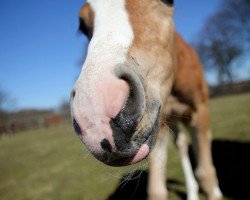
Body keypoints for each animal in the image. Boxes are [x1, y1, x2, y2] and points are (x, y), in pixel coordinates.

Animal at [70, 0, 223, 199]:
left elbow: (206, 173)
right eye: (82, 25)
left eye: (169, 1)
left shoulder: (200, 111)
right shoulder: (159, 124)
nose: (96, 116)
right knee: (181, 145)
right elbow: (157, 190)